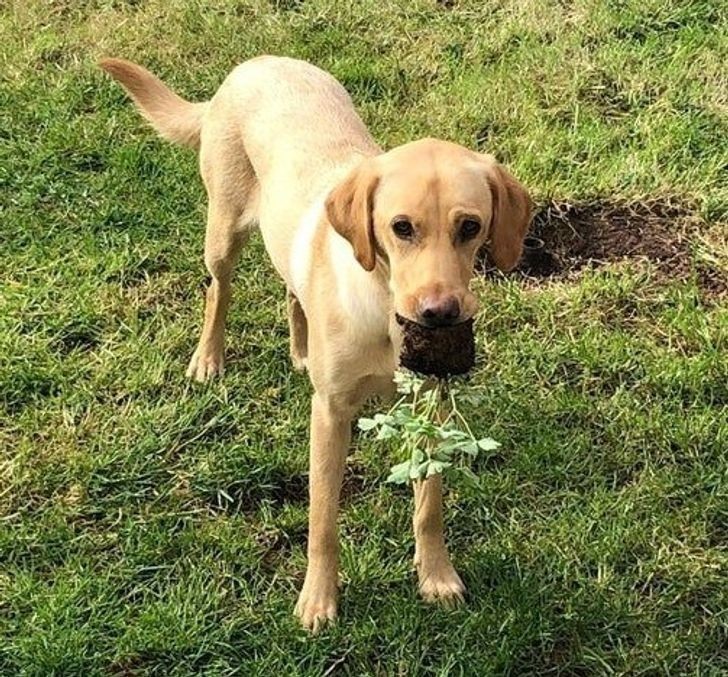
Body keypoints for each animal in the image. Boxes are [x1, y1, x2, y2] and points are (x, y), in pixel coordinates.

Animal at [102, 55, 532, 632]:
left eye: (470, 226)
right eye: (401, 227)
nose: (440, 312)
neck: (385, 311)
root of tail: (257, 63)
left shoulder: (429, 408)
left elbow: (430, 502)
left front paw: (436, 576)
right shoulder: (329, 413)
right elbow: (323, 517)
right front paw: (318, 600)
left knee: (291, 286)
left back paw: (300, 350)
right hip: (223, 233)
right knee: (218, 291)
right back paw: (208, 359)